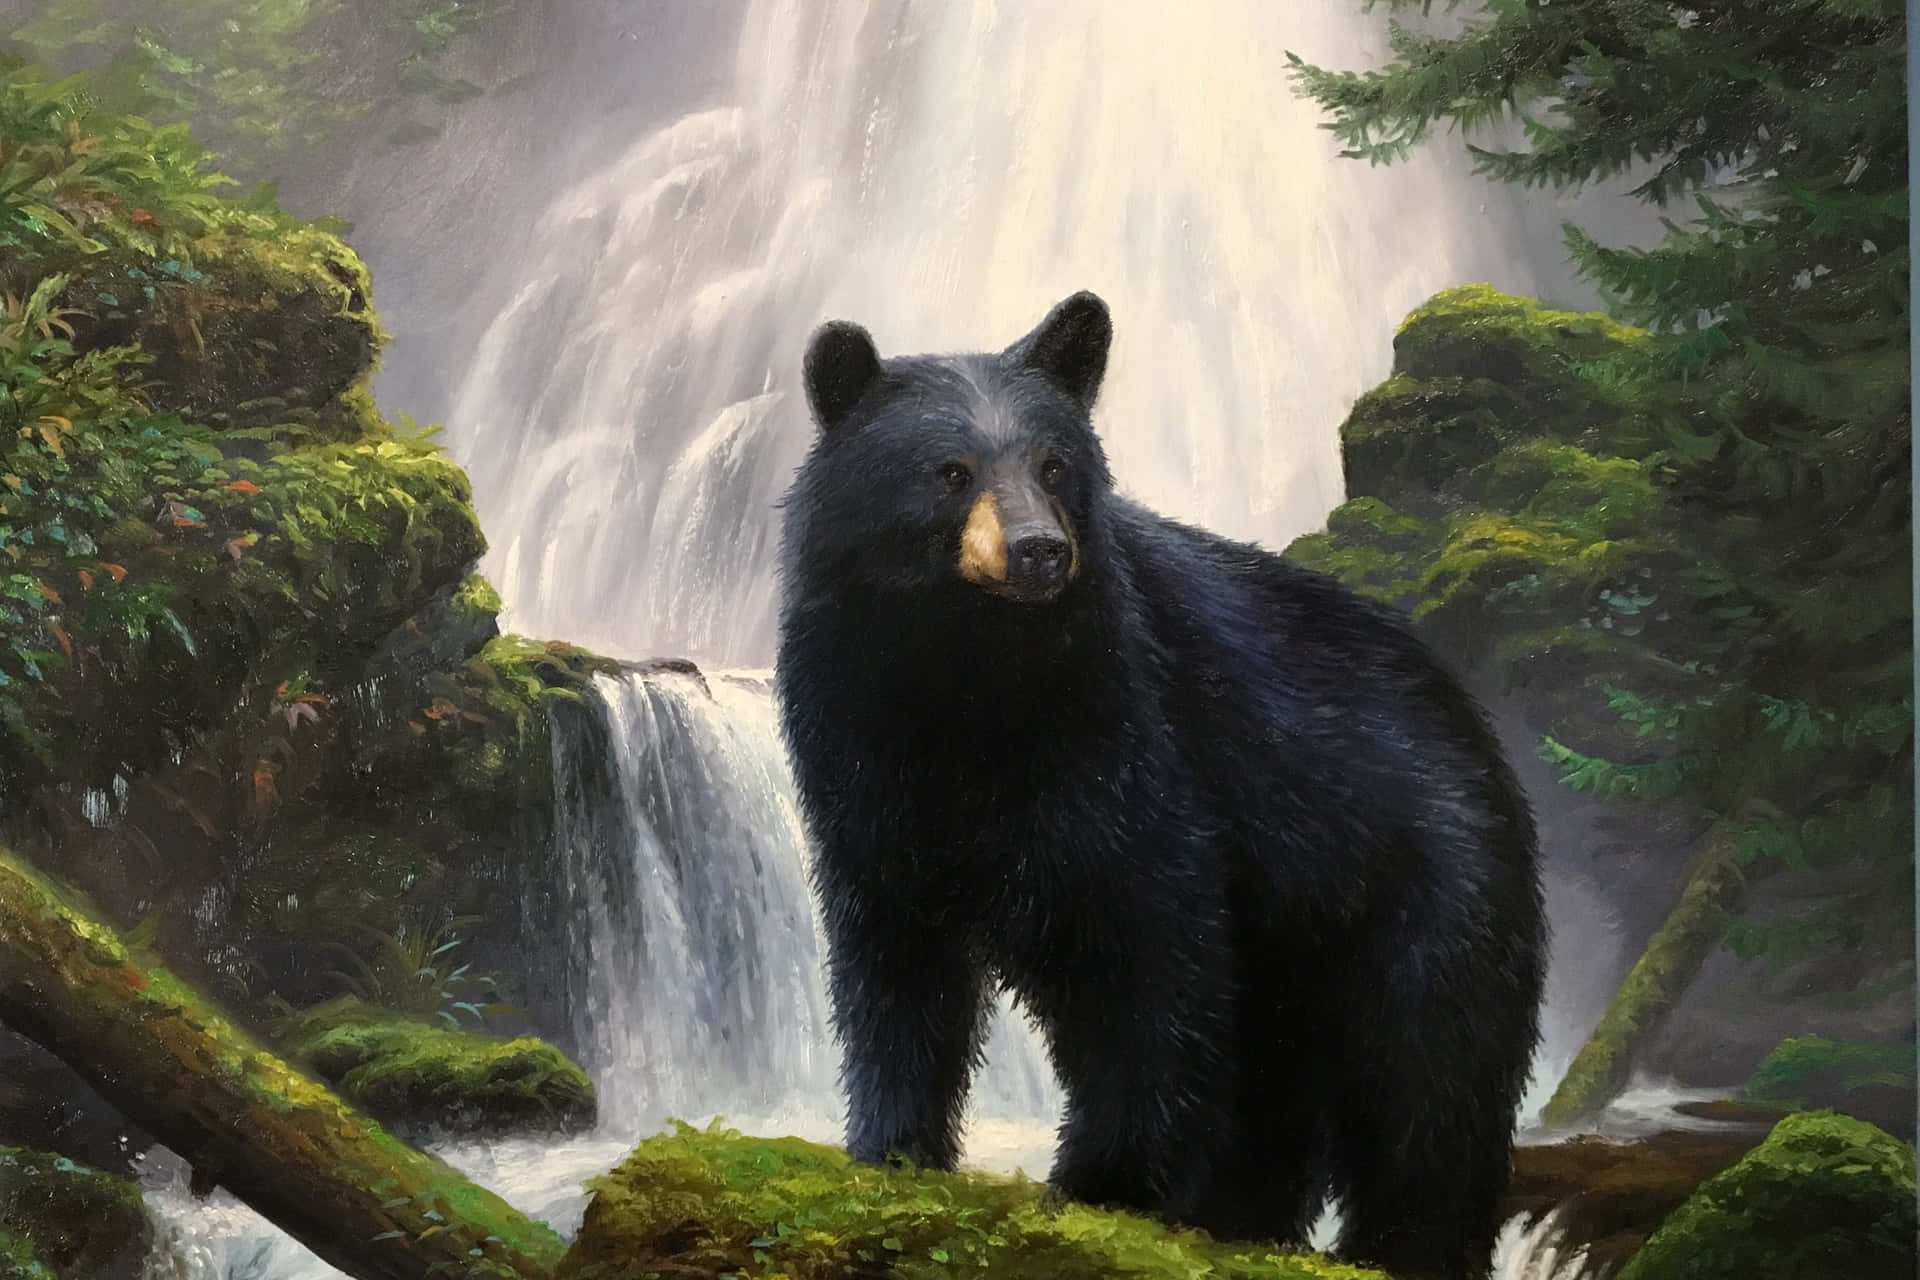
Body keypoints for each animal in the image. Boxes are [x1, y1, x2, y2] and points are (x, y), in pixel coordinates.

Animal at [773, 291, 1546, 1280]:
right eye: (949, 471)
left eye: (1055, 465)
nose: (1038, 551)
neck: (969, 669)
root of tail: (1472, 720)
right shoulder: (857, 752)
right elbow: (896, 965)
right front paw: (892, 1153)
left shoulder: (1123, 730)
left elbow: (1144, 948)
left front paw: (1101, 1185)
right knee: (1282, 1089)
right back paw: (1238, 1218)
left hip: (1424, 887)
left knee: (1428, 1087)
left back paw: (1397, 1246)